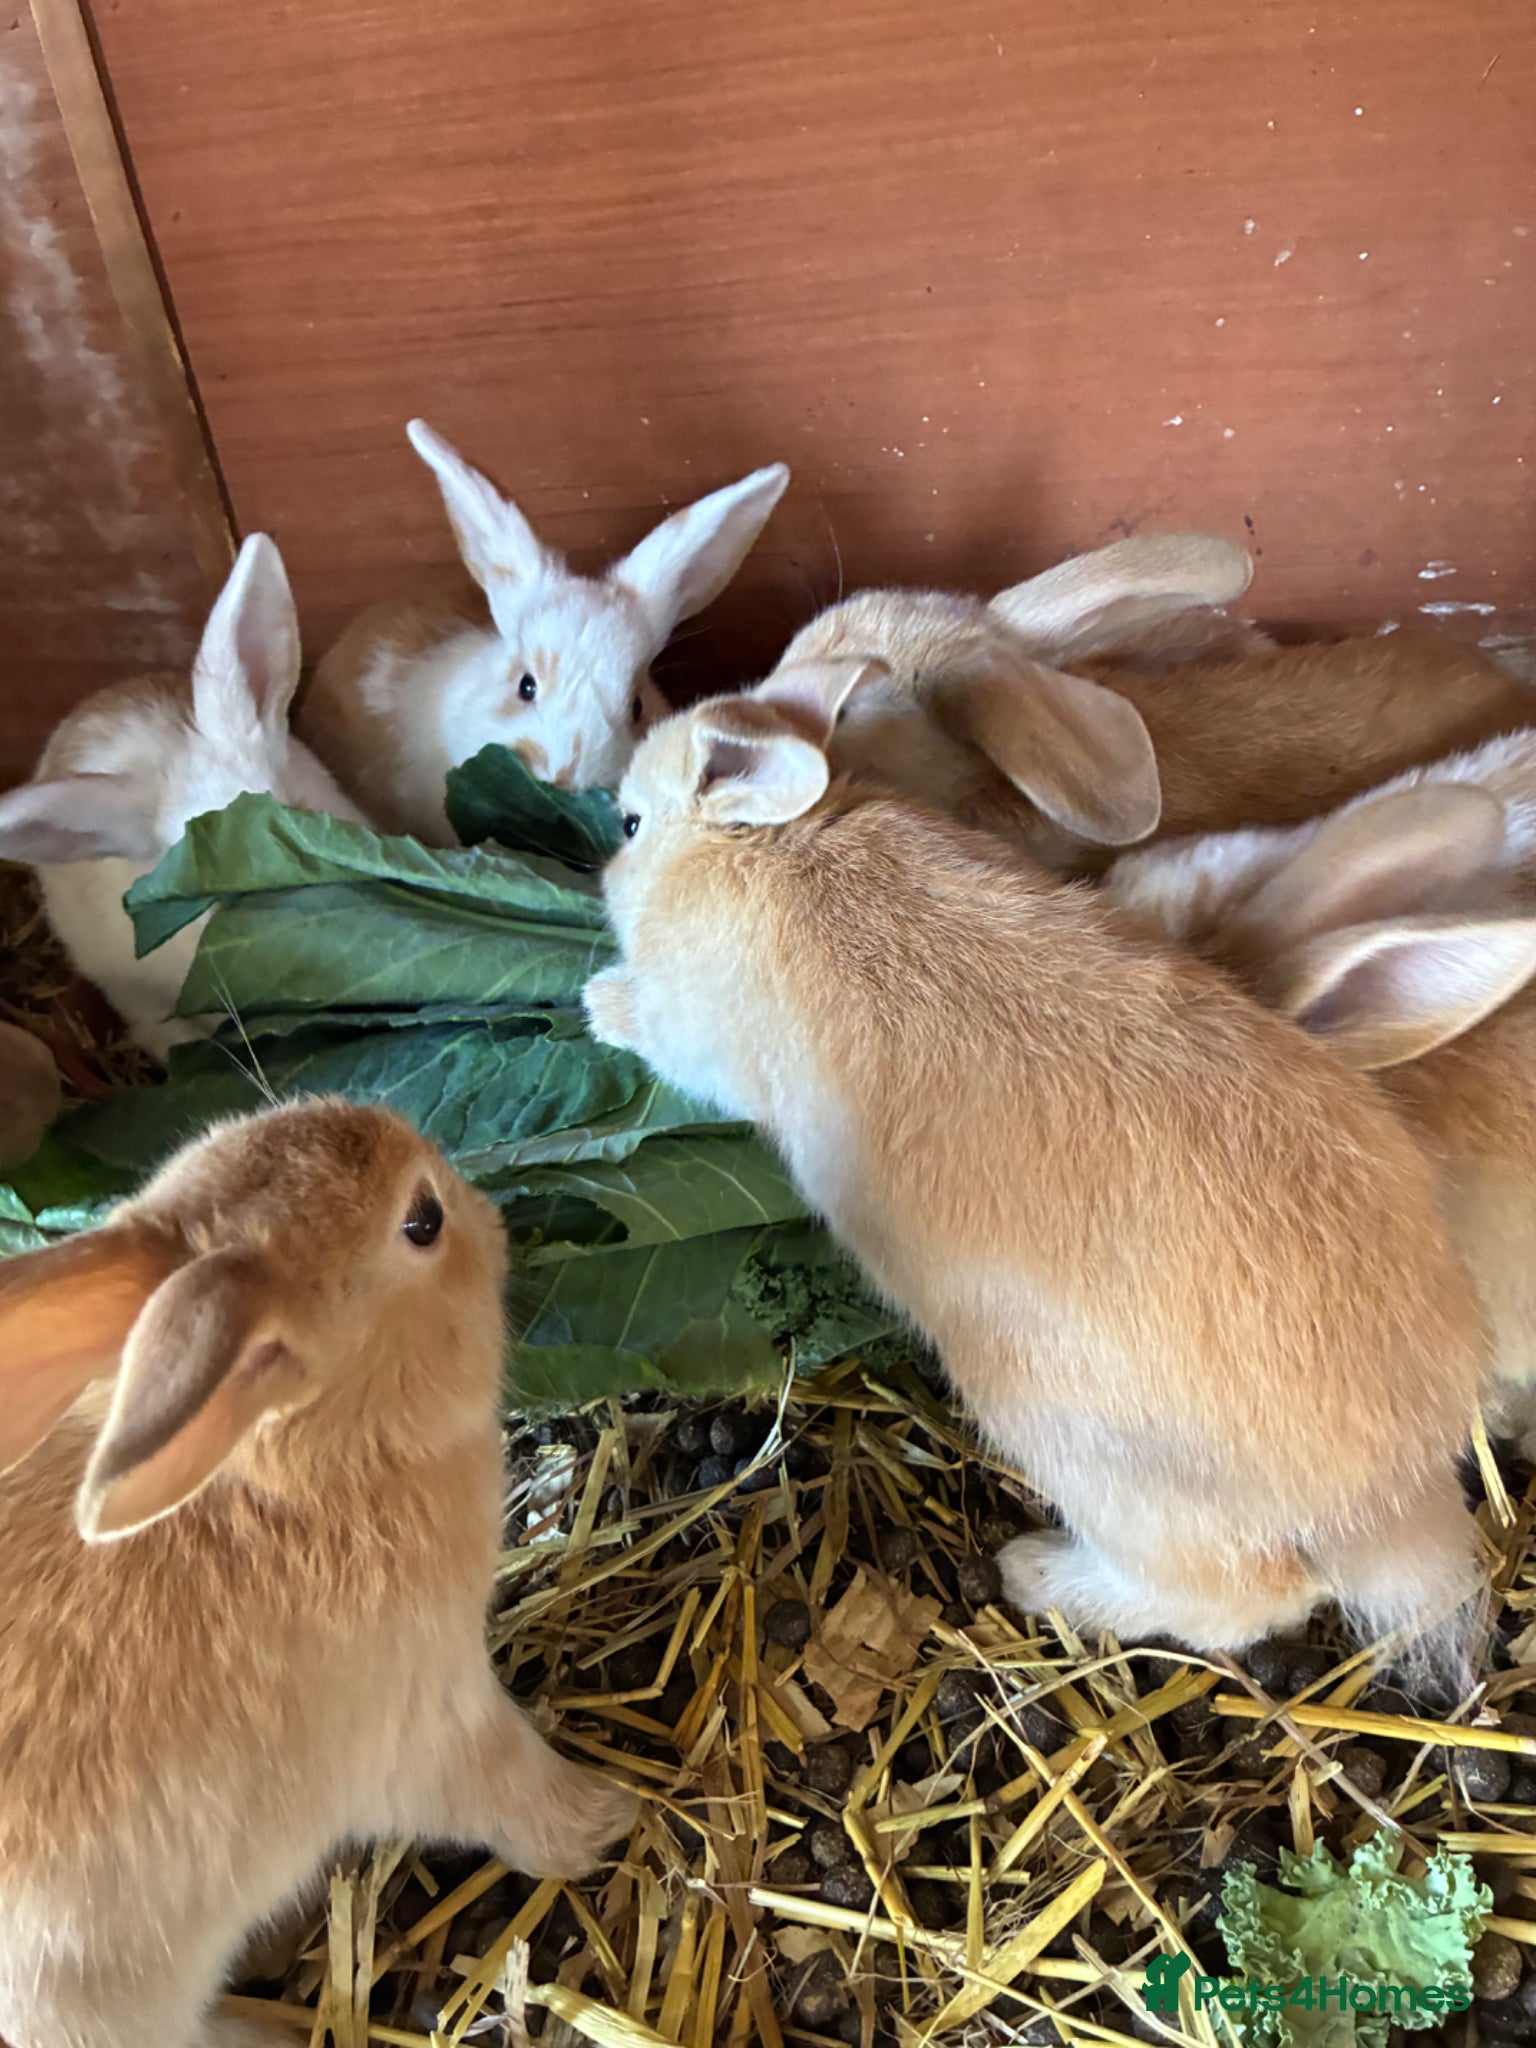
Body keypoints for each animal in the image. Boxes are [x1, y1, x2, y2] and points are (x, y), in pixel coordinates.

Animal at [0, 1095, 637, 2048]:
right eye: (422, 1221)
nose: (490, 1214)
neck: (290, 1478)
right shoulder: (431, 1722)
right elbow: (518, 1797)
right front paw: (609, 1817)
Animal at [581, 664, 1488, 1665]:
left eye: (631, 824)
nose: (601, 866)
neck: (767, 846)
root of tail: (1387, 1492)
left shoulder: (695, 1039)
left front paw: (599, 1003)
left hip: (1075, 1449)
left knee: (1253, 1597)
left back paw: (1039, 1577)